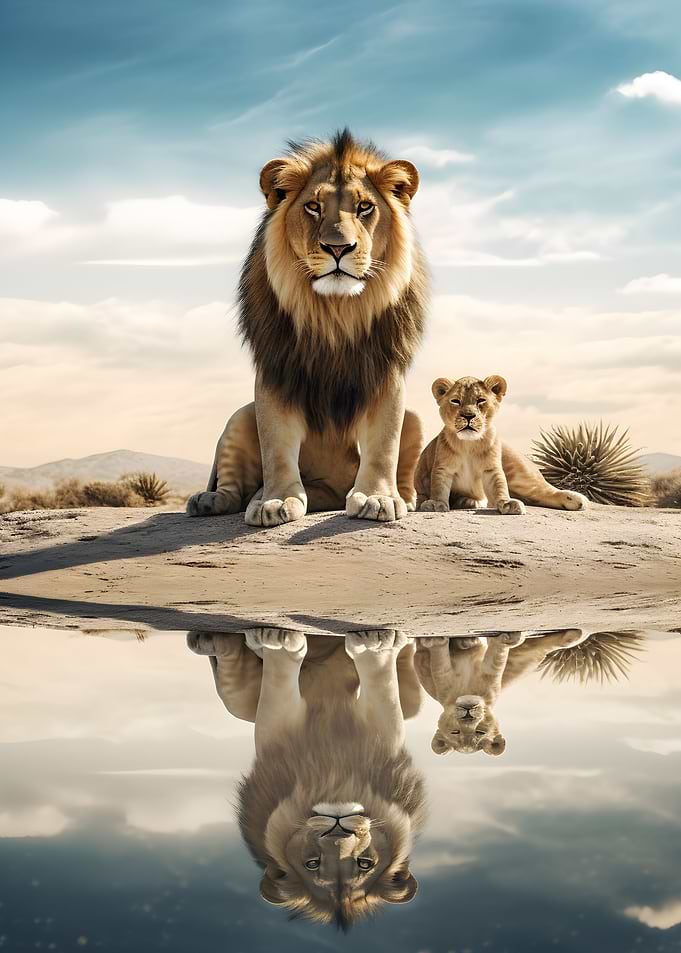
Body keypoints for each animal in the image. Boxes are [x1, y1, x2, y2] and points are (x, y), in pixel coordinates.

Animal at [187, 128, 429, 527]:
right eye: (313, 207)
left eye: (365, 207)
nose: (338, 248)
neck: (334, 313)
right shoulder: (276, 370)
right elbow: (276, 445)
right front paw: (275, 500)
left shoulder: (385, 374)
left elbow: (383, 443)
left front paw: (377, 498)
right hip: (240, 416)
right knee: (233, 487)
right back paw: (215, 500)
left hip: (416, 418)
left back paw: (406, 499)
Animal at [187, 628, 426, 928]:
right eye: (312, 864)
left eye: (364, 863)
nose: (338, 832)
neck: (336, 780)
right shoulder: (276, 723)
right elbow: (279, 676)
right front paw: (278, 642)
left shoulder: (384, 724)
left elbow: (381, 678)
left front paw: (377, 646)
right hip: (240, 703)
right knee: (232, 679)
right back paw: (214, 642)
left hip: (412, 701)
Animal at [414, 630, 591, 756]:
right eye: (455, 732)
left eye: (480, 732)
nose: (468, 713)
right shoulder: (441, 680)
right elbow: (439, 660)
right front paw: (436, 641)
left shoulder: (492, 676)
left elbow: (497, 657)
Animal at [415, 375, 589, 513]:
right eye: (455, 401)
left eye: (481, 400)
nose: (468, 416)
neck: (469, 444)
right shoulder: (443, 467)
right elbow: (439, 484)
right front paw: (436, 503)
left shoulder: (492, 467)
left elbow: (499, 484)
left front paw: (506, 503)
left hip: (520, 472)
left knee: (542, 490)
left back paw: (576, 500)